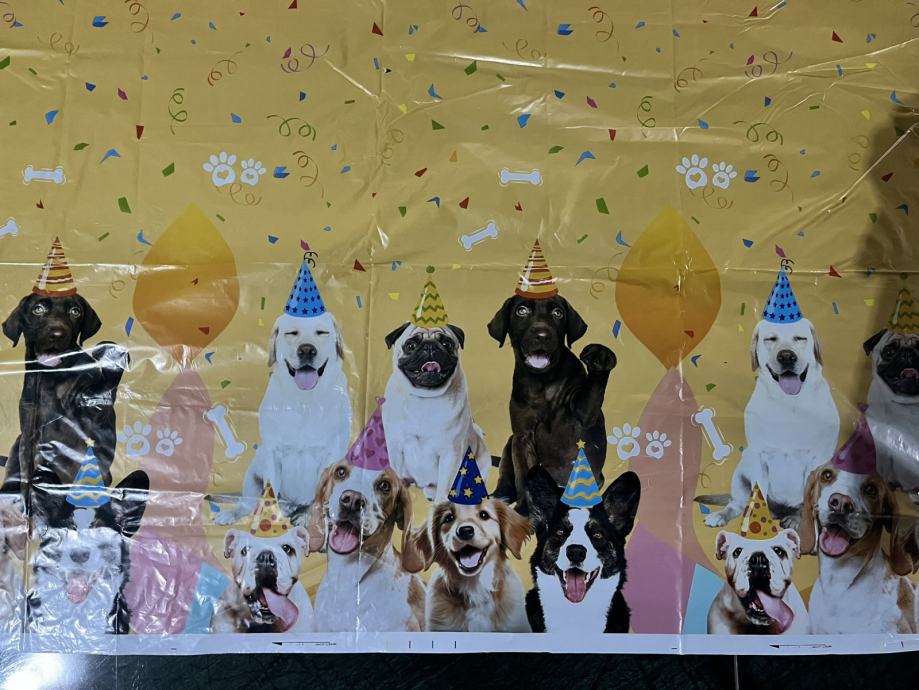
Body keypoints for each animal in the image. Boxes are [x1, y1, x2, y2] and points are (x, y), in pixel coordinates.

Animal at [2, 291, 127, 498]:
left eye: (75, 311)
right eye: (38, 309)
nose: (57, 334)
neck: (51, 379)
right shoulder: (29, 434)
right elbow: (27, 478)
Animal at [216, 310, 351, 525]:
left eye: (322, 332)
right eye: (292, 333)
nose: (307, 350)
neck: (304, 402)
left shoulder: (331, 456)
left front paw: (310, 519)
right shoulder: (273, 453)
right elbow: (271, 491)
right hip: (253, 472)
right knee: (247, 502)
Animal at [383, 320, 489, 501]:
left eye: (446, 344)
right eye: (410, 346)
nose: (430, 346)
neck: (424, 398)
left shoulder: (450, 454)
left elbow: (445, 487)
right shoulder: (395, 447)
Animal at [488, 294, 616, 512]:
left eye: (558, 313)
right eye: (521, 311)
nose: (542, 335)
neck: (544, 383)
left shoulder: (585, 415)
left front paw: (600, 358)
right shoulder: (522, 436)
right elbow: (525, 475)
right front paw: (524, 509)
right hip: (509, 444)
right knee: (506, 480)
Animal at [704, 317, 839, 529]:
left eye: (800, 338)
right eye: (770, 339)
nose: (786, 356)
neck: (789, 404)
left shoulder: (816, 460)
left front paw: (799, 522)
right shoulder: (760, 456)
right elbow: (760, 494)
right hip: (741, 472)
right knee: (737, 504)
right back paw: (724, 514)